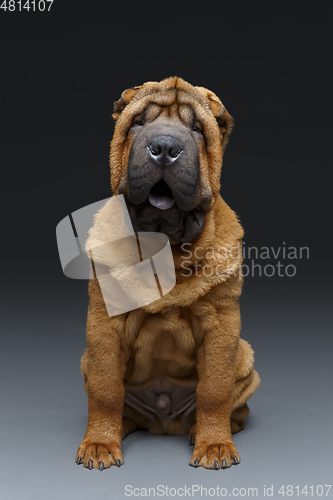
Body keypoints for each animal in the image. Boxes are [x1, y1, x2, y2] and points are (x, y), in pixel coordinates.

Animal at [75, 76, 260, 470]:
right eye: (138, 123)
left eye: (197, 129)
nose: (164, 147)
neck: (166, 251)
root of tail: (163, 420)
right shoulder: (103, 325)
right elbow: (105, 388)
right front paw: (99, 444)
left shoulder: (222, 323)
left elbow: (214, 390)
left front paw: (214, 445)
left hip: (245, 357)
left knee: (233, 403)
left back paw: (208, 429)